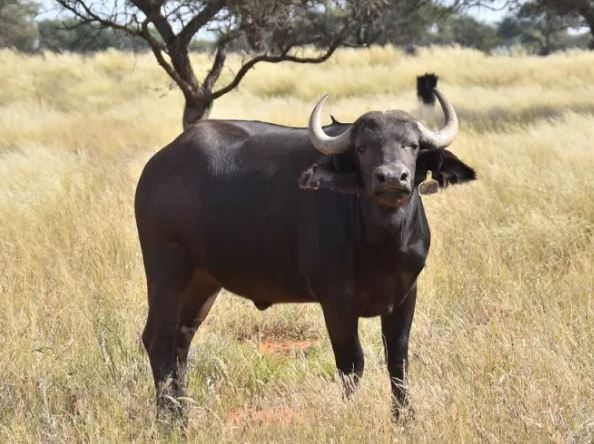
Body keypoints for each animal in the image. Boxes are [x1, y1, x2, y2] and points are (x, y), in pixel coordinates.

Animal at [135, 90, 476, 420]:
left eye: (413, 145)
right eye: (363, 147)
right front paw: (349, 415)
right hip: (166, 269)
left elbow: (398, 360)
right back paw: (167, 419)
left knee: (181, 338)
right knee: (159, 338)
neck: (382, 245)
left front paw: (404, 418)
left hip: (202, 281)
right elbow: (351, 363)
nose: (392, 178)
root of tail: (157, 167)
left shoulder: (405, 294)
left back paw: (183, 415)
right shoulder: (336, 299)